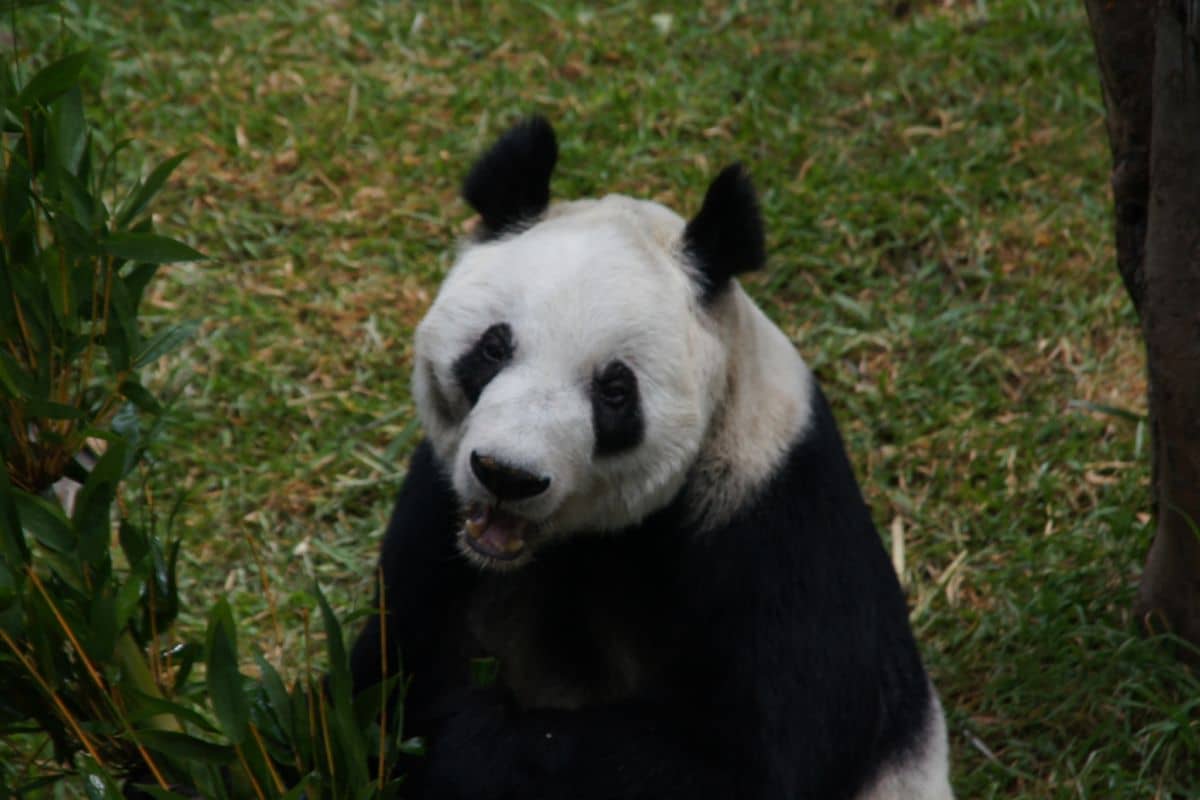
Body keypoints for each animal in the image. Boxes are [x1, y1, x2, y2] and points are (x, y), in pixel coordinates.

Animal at [349, 117, 953, 800]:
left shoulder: (776, 535)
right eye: (493, 347)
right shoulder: (438, 514)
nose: (509, 475)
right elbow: (376, 676)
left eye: (614, 390)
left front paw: (460, 733)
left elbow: (739, 763)